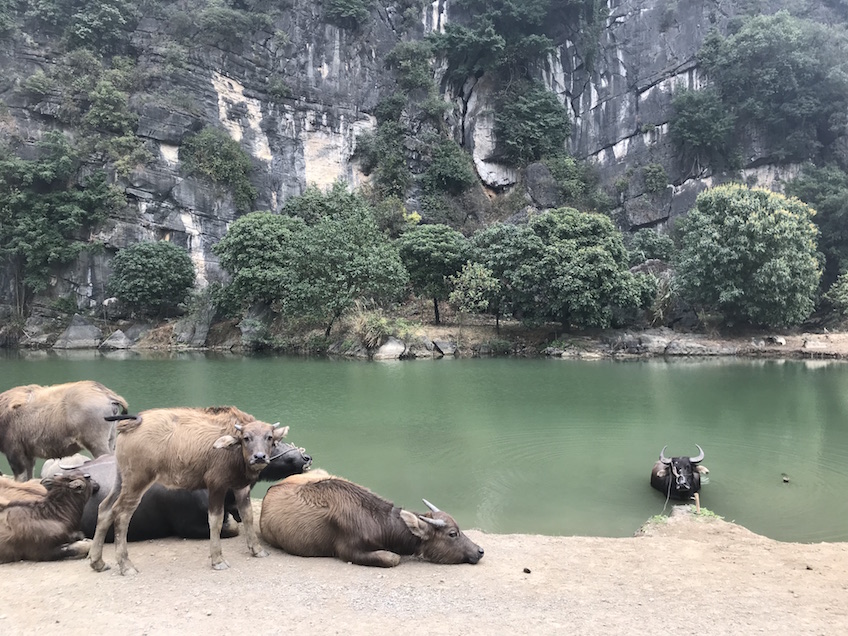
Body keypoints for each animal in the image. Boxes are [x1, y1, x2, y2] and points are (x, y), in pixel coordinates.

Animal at [88, 408, 288, 576]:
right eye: (246, 437)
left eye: (269, 437)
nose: (259, 457)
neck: (235, 452)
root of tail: (131, 423)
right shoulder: (216, 485)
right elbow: (215, 521)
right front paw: (217, 559)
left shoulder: (240, 487)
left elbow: (247, 516)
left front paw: (257, 549)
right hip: (137, 482)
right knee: (121, 514)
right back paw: (126, 565)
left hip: (121, 481)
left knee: (105, 508)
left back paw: (98, 561)